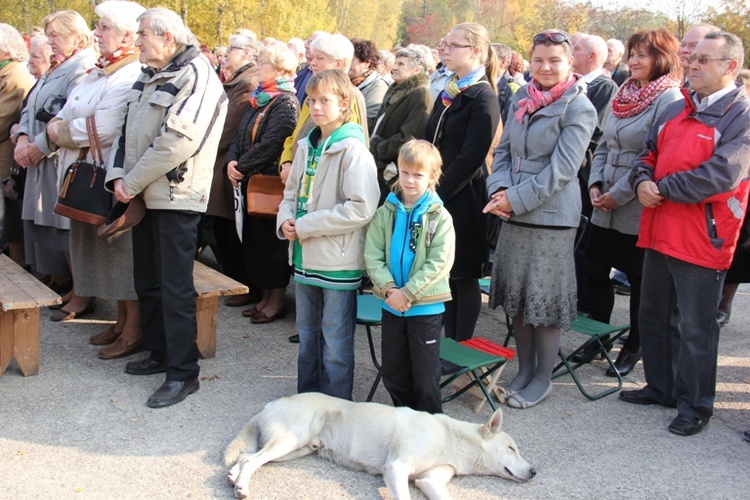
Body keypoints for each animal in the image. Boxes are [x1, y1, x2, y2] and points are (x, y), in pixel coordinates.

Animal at [223, 392, 536, 498]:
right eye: (512, 449)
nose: (534, 472)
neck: (449, 438)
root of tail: (268, 405)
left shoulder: (430, 481)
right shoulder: (396, 467)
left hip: (293, 450)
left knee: (246, 458)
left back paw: (234, 479)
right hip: (290, 440)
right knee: (250, 460)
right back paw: (242, 488)